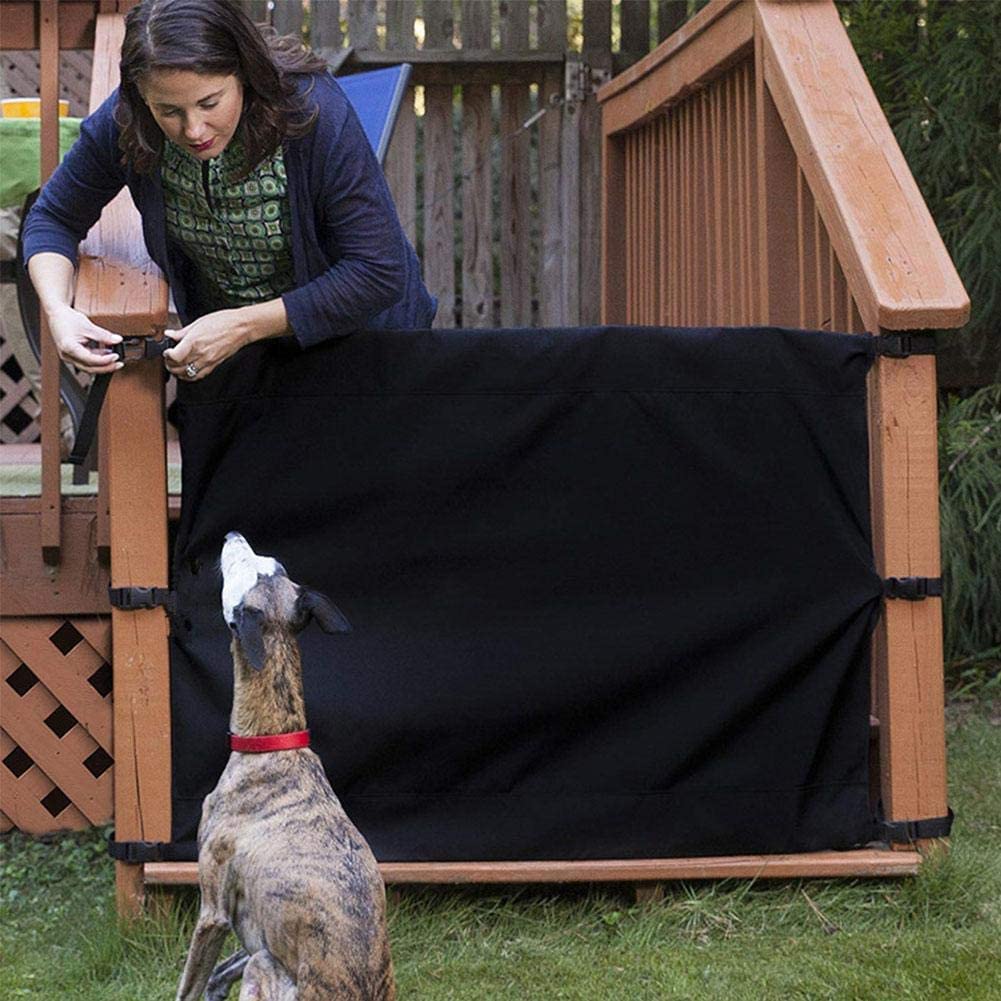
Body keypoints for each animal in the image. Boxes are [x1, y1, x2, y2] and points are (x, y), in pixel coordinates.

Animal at [176, 528, 394, 996]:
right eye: (274, 565)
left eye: (248, 568)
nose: (232, 534)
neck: (273, 743)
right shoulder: (254, 932)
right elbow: (217, 975)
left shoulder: (213, 910)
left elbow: (188, 986)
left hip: (264, 969)